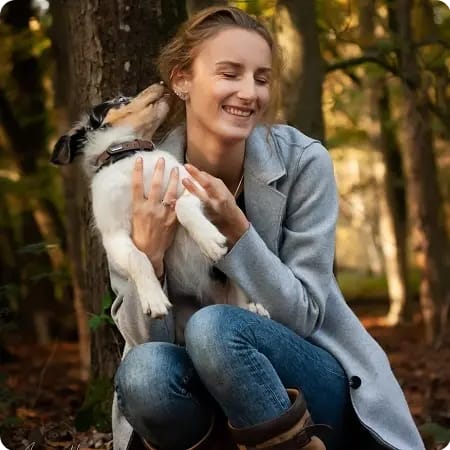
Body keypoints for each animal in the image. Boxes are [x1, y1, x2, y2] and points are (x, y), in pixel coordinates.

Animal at [51, 83, 268, 324]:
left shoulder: (195, 185)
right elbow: (138, 258)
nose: (162, 84)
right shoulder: (114, 236)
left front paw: (209, 240)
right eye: (120, 100)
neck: (129, 156)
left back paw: (256, 310)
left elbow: (182, 207)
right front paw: (153, 299)